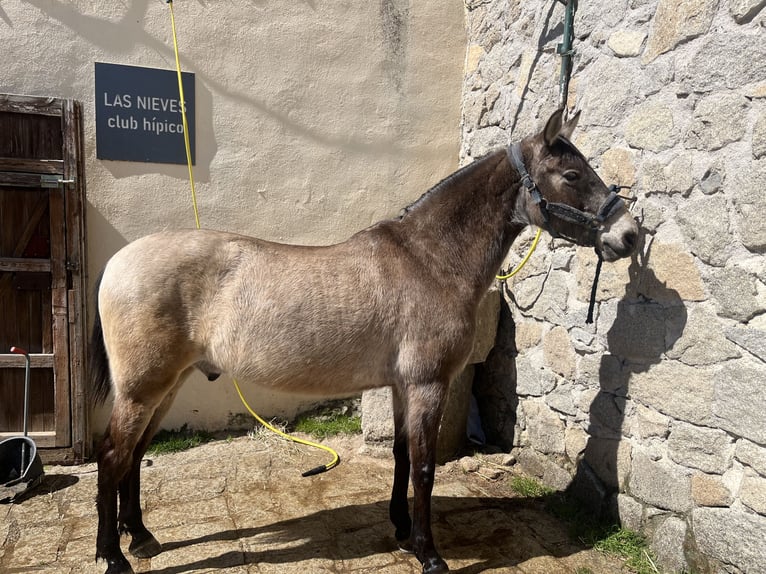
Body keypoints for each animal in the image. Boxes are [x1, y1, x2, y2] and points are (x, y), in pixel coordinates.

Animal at [90, 109, 639, 574]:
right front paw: (429, 554)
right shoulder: (427, 385)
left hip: (166, 385)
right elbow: (424, 467)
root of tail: (118, 262)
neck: (430, 260)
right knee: (113, 456)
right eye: (572, 176)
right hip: (143, 387)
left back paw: (141, 537)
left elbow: (401, 455)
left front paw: (401, 530)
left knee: (135, 455)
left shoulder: (401, 386)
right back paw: (113, 556)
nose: (630, 235)